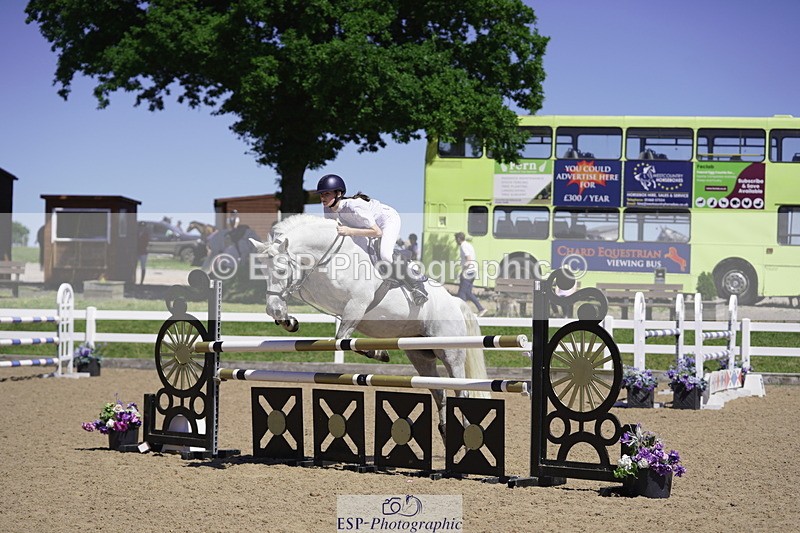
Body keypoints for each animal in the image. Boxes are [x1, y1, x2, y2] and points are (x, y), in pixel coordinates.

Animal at [249, 214, 490, 437]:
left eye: (281, 270)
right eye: (263, 272)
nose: (272, 310)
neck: (328, 256)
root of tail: (455, 302)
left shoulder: (357, 304)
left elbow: (341, 338)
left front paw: (378, 352)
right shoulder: (314, 291)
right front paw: (287, 320)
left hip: (451, 353)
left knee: (461, 391)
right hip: (420, 356)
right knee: (439, 392)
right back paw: (445, 430)